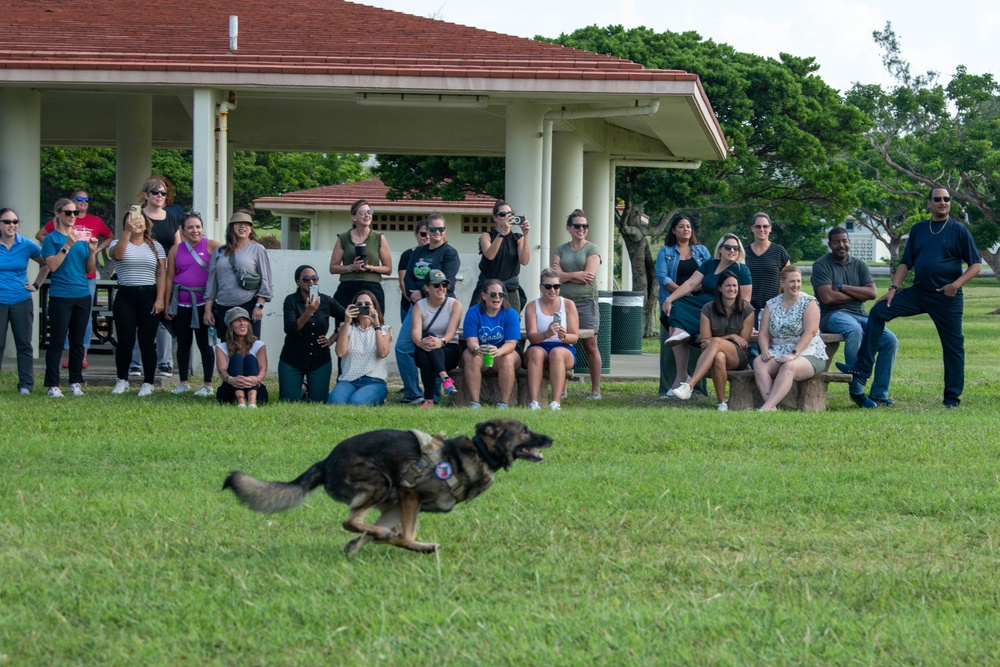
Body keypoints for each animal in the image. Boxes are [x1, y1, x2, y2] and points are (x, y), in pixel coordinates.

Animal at [222, 420, 552, 556]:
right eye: (524, 431)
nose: (550, 438)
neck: (480, 453)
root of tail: (325, 462)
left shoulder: (401, 503)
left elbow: (385, 534)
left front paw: (363, 544)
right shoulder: (409, 494)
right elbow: (407, 536)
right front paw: (418, 546)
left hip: (388, 498)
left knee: (361, 526)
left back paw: (371, 538)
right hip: (381, 484)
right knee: (350, 520)